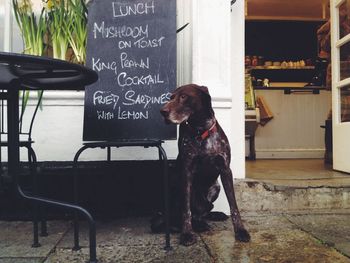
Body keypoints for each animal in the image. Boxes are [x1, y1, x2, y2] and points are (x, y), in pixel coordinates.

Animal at [159, 85, 249, 248]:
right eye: (171, 97)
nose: (162, 111)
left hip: (216, 187)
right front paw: (187, 234)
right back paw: (196, 225)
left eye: (183, 97)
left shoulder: (226, 170)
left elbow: (234, 206)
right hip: (175, 183)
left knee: (204, 212)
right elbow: (186, 209)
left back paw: (214, 215)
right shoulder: (186, 171)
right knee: (188, 215)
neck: (201, 131)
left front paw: (240, 230)